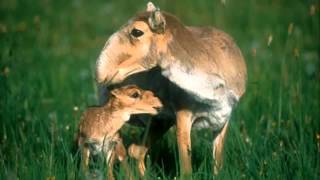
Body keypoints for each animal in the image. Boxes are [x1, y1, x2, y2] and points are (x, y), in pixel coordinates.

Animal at [95, 1, 248, 177]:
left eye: (137, 31)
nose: (103, 74)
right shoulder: (183, 117)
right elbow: (186, 168)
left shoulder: (223, 120)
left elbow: (218, 163)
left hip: (160, 122)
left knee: (136, 150)